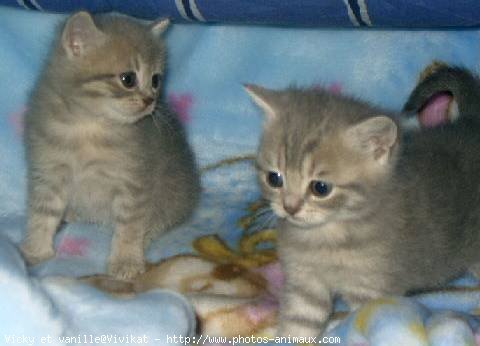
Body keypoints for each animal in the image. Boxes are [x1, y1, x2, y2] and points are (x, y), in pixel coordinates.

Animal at [20, 12, 200, 280]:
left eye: (156, 80)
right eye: (128, 79)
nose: (150, 100)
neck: (88, 126)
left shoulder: (135, 182)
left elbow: (129, 225)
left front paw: (126, 259)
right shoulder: (49, 172)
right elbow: (42, 213)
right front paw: (36, 250)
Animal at [246, 84, 480, 338]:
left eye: (320, 188)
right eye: (274, 178)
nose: (290, 207)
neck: (326, 238)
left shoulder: (370, 292)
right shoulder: (305, 286)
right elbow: (297, 327)